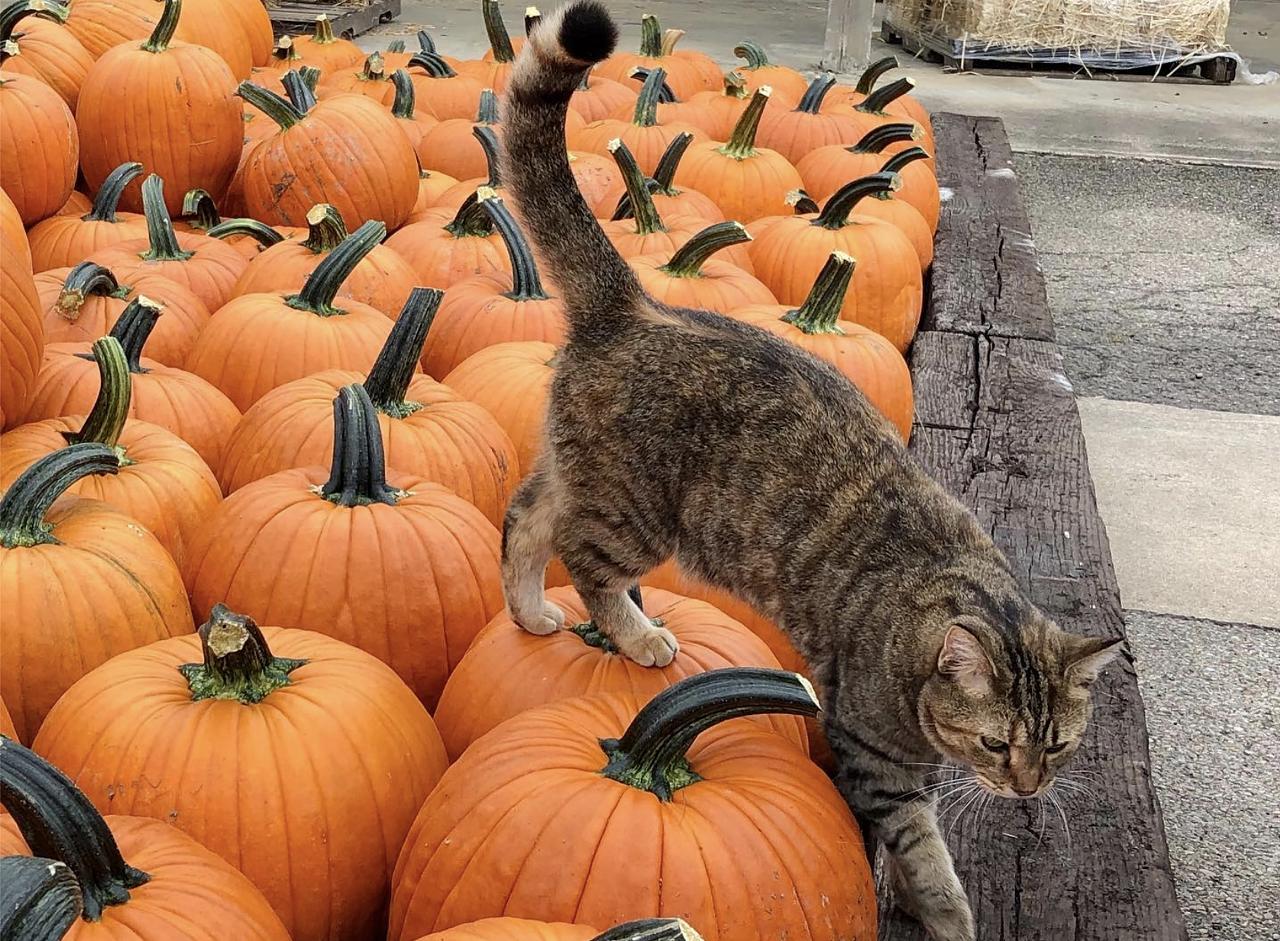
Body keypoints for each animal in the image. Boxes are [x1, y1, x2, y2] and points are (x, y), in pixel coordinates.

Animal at [499, 3, 1121, 937]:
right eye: (996, 742)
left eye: (1056, 745)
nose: (1025, 787)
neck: (955, 590)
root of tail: (635, 305)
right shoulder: (876, 761)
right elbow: (925, 855)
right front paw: (947, 912)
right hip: (634, 513)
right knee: (583, 558)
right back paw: (638, 634)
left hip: (584, 472)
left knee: (523, 515)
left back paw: (530, 611)